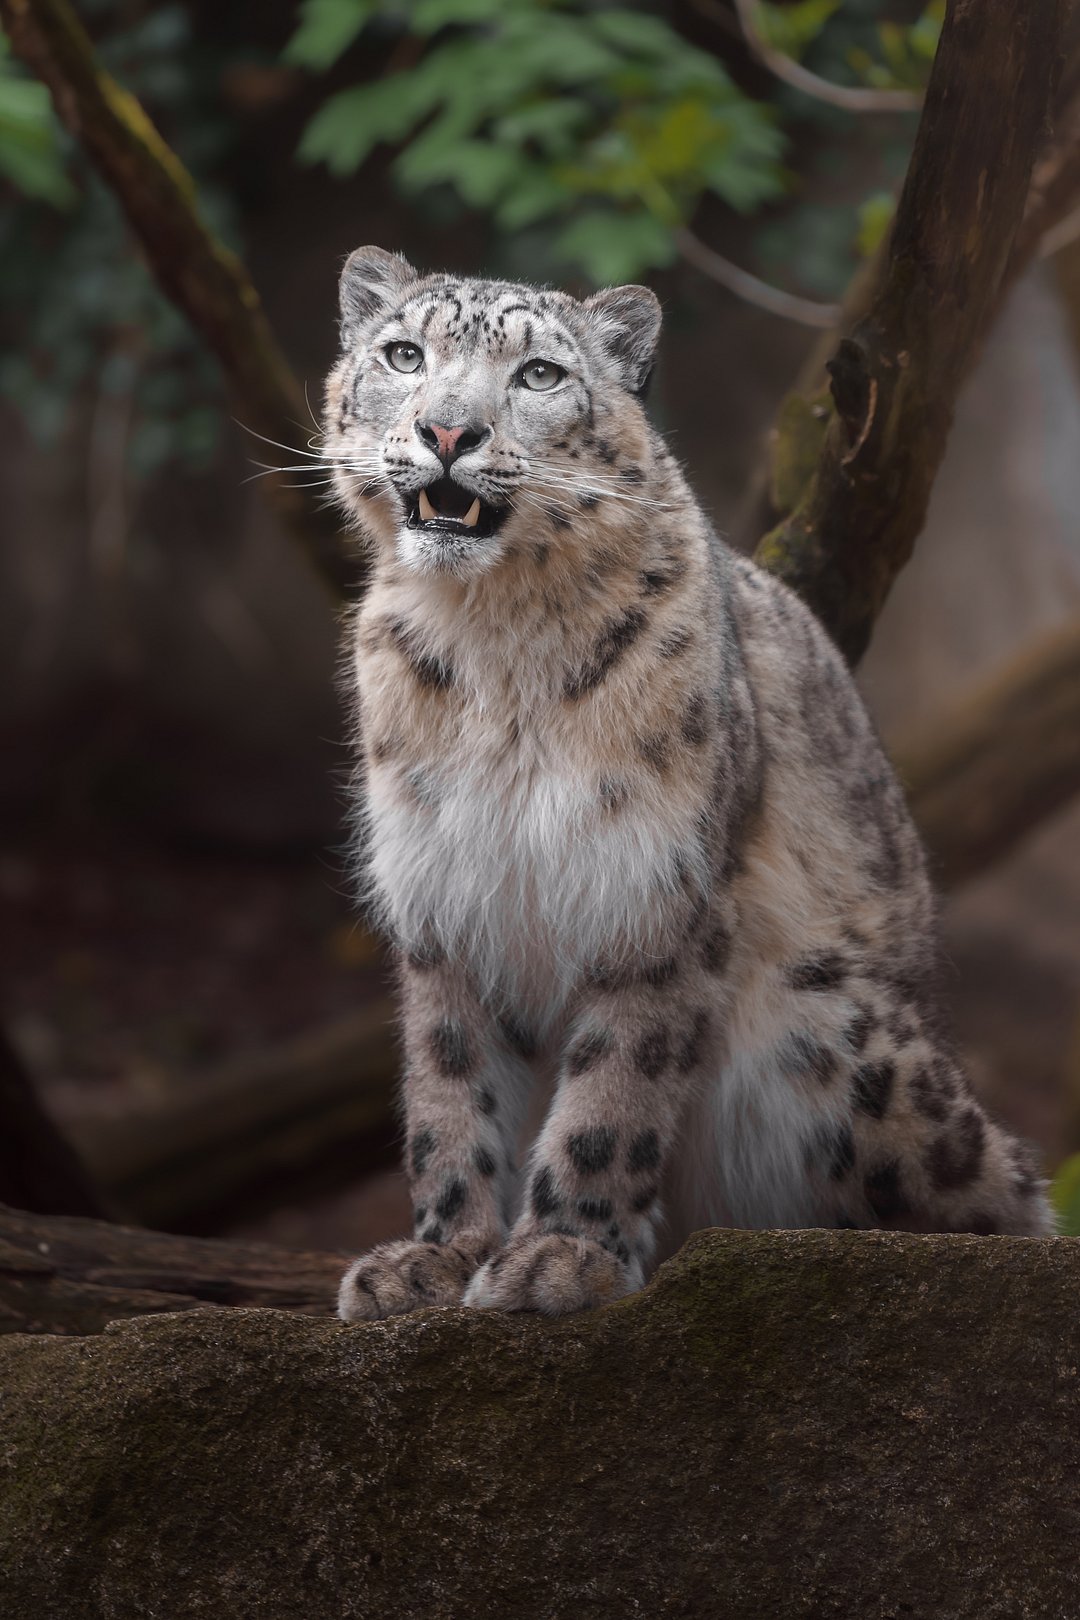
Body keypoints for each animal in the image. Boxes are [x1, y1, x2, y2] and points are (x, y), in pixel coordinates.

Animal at [323, 245, 1052, 1321]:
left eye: (539, 373)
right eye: (404, 354)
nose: (448, 431)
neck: (494, 640)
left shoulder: (653, 884)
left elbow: (615, 1086)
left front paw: (559, 1257)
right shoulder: (443, 891)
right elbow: (449, 1088)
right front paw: (436, 1259)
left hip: (833, 1027)